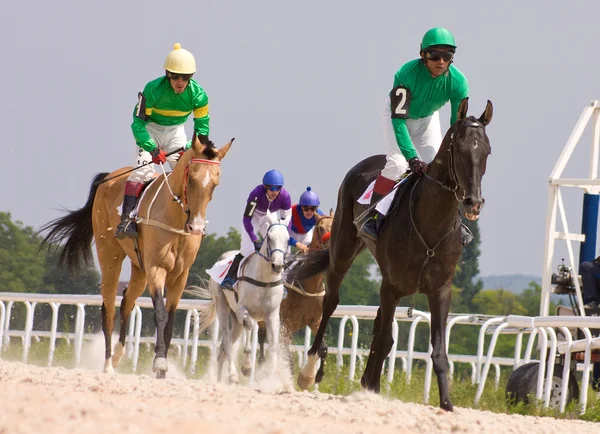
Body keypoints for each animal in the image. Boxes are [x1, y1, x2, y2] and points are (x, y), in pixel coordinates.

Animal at [40, 137, 232, 378]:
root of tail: (107, 179)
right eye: (192, 178)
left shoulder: (180, 276)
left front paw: (163, 370)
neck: (175, 218)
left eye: (215, 183)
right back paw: (107, 364)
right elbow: (160, 314)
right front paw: (159, 362)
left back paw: (118, 355)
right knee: (109, 309)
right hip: (110, 257)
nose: (196, 227)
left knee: (126, 303)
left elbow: (170, 320)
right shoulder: (156, 269)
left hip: (139, 270)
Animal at [188, 211, 290, 384]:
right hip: (223, 307)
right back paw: (233, 374)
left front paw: (272, 377)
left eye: (288, 239)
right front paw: (247, 367)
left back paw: (220, 379)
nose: (277, 265)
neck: (264, 280)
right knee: (227, 341)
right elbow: (250, 326)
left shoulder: (272, 314)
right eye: (269, 237)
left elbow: (273, 343)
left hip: (235, 319)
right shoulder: (243, 309)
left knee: (223, 348)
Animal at [290, 99, 492, 410]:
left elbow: (438, 351)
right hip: (343, 249)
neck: (430, 224)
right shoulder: (392, 285)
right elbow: (384, 339)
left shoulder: (440, 290)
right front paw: (371, 387)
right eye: (459, 149)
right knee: (331, 303)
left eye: (486, 151)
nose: (473, 202)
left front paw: (446, 403)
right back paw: (310, 371)